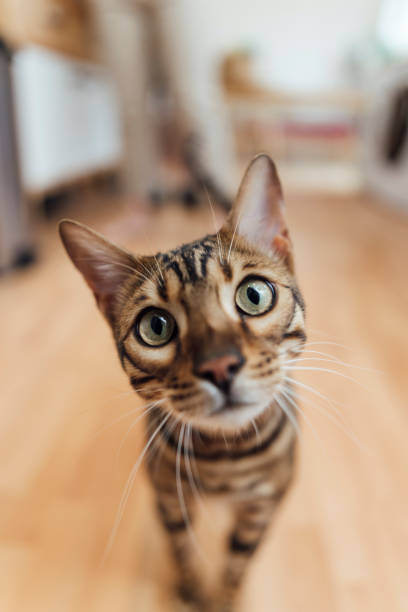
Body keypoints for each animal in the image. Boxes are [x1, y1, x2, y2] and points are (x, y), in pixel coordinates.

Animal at [58, 155, 306, 608]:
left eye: (254, 296)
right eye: (155, 327)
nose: (220, 366)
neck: (225, 456)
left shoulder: (263, 505)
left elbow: (238, 560)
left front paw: (225, 599)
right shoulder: (169, 496)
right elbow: (182, 547)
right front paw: (191, 589)